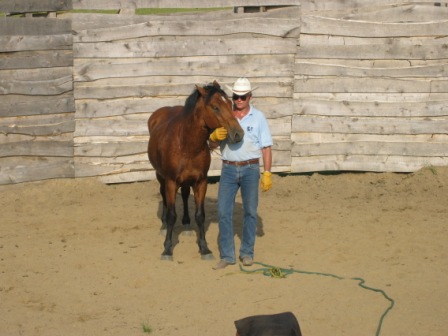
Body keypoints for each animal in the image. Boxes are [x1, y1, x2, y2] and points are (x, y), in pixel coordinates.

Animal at [149, 81, 243, 260]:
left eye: (230, 104)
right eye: (215, 107)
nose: (238, 134)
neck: (186, 144)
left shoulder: (201, 181)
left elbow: (200, 216)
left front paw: (204, 248)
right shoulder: (171, 181)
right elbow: (171, 215)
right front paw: (167, 248)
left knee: (185, 195)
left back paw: (186, 225)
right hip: (161, 176)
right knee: (164, 196)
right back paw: (163, 226)